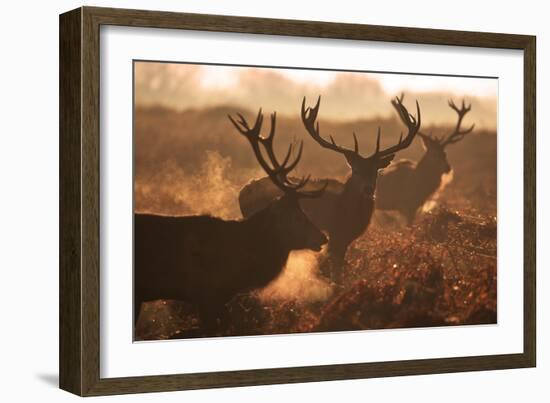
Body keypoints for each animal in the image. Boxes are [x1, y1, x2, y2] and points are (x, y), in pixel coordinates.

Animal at [239, 97, 420, 280]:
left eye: (376, 171)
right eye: (355, 170)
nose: (368, 189)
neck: (345, 212)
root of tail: (242, 193)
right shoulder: (334, 235)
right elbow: (335, 272)